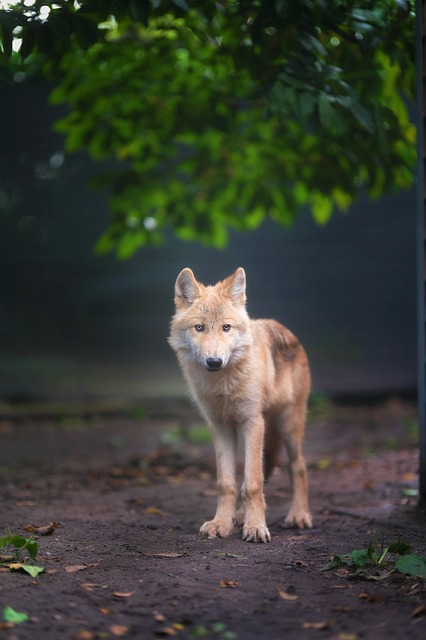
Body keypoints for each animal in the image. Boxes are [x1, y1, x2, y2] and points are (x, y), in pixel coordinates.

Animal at [168, 268, 312, 544]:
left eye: (226, 327)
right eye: (199, 327)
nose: (214, 361)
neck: (223, 385)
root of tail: (285, 330)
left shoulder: (252, 422)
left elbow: (253, 483)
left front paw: (256, 527)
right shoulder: (219, 427)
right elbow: (227, 484)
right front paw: (222, 523)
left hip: (287, 426)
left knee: (297, 467)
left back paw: (299, 515)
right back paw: (238, 517)